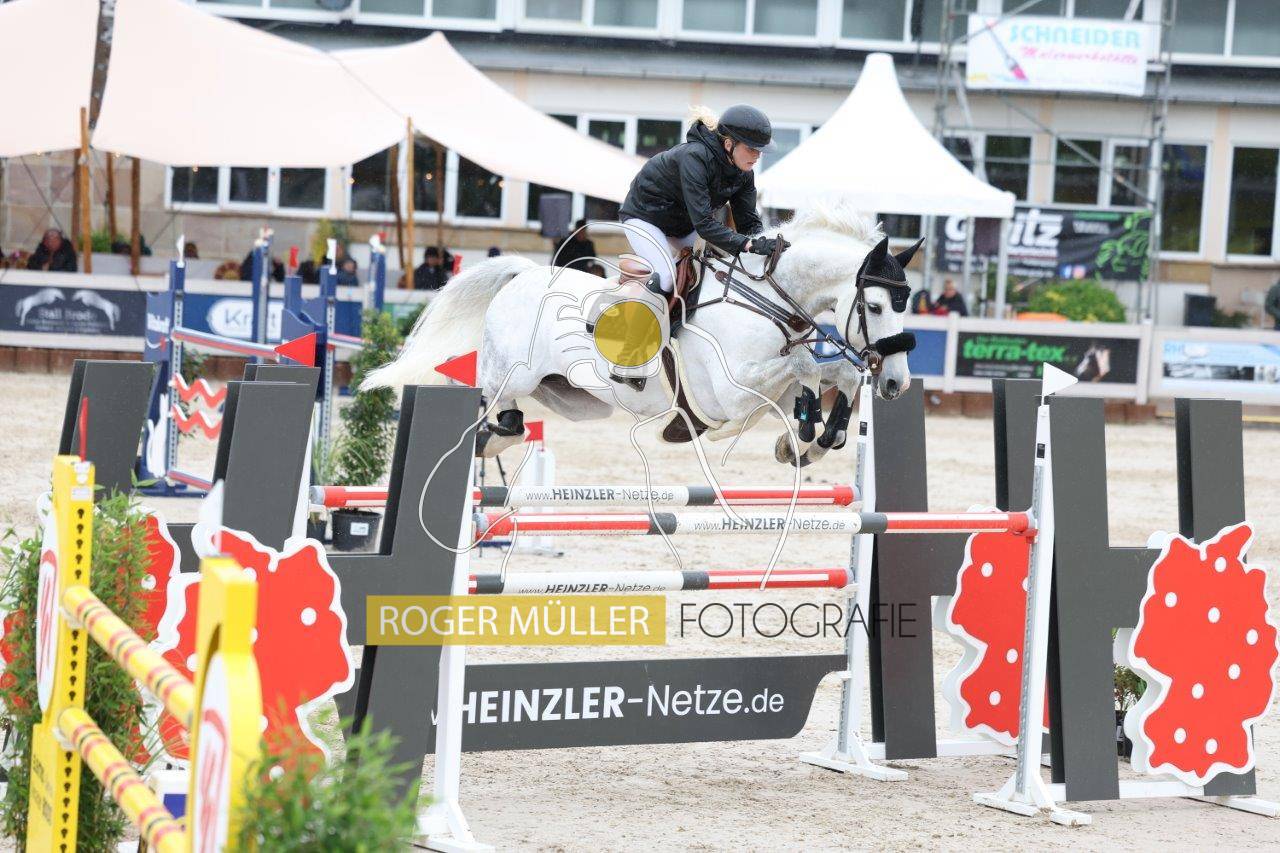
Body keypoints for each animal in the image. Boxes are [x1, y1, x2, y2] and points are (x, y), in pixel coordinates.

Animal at [364, 202, 919, 468]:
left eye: (905, 303)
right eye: (873, 306)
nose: (896, 383)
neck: (766, 300)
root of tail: (523, 273)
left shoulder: (764, 392)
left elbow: (832, 375)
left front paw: (810, 440)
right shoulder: (729, 394)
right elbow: (805, 365)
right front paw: (804, 433)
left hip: (573, 399)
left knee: (514, 423)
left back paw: (491, 441)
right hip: (511, 376)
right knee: (486, 400)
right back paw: (479, 440)